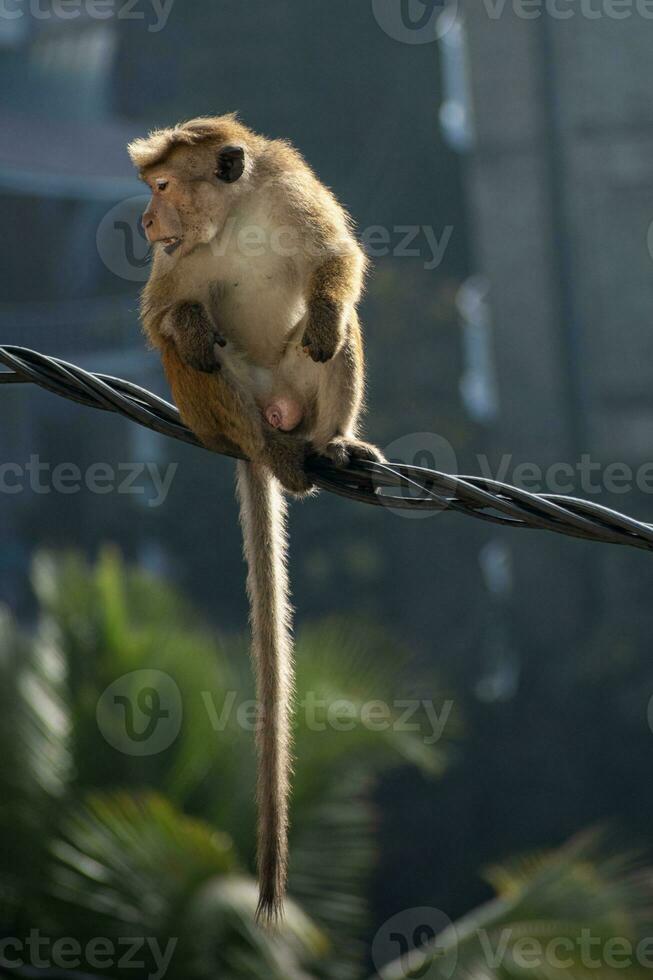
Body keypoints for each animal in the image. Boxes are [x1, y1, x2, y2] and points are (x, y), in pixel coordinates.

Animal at [129, 115, 382, 928]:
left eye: (163, 186)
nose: (145, 223)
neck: (233, 216)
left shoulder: (290, 192)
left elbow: (336, 259)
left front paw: (327, 310)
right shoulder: (174, 265)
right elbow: (162, 318)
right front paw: (185, 324)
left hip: (302, 392)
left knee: (337, 344)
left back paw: (330, 446)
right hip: (216, 416)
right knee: (201, 362)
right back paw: (274, 453)